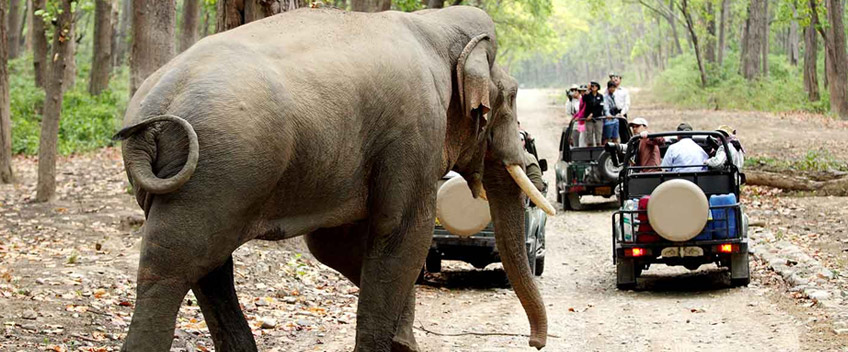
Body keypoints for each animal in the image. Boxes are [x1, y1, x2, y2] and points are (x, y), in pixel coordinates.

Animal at [114, 5, 556, 352]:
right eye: (511, 97)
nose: (535, 343)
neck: (432, 25)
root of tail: (154, 107)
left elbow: (334, 244)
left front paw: (404, 341)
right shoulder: (414, 132)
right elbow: (403, 235)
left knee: (208, 267)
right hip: (218, 172)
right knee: (172, 268)